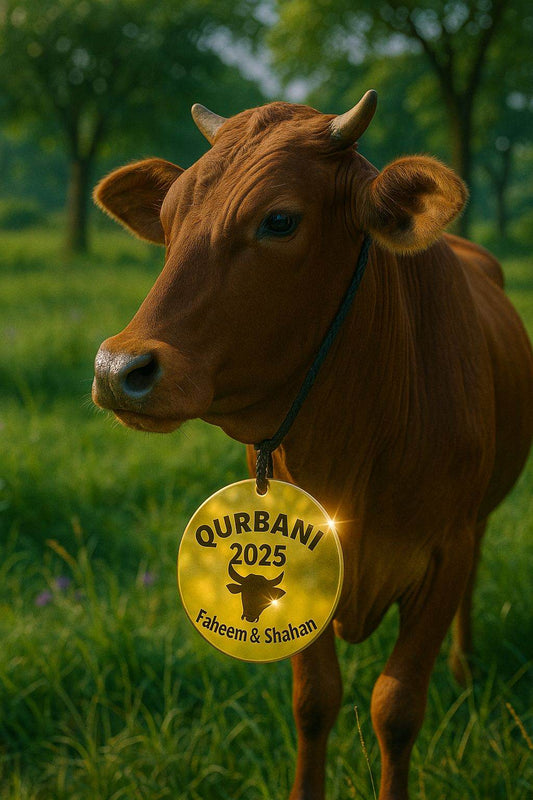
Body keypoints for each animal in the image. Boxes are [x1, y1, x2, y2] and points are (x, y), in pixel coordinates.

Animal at [92, 90, 533, 800]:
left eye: (279, 220)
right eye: (167, 217)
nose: (117, 368)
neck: (357, 442)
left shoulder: (446, 550)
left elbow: (397, 708)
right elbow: (314, 701)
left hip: (479, 521)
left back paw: (465, 672)